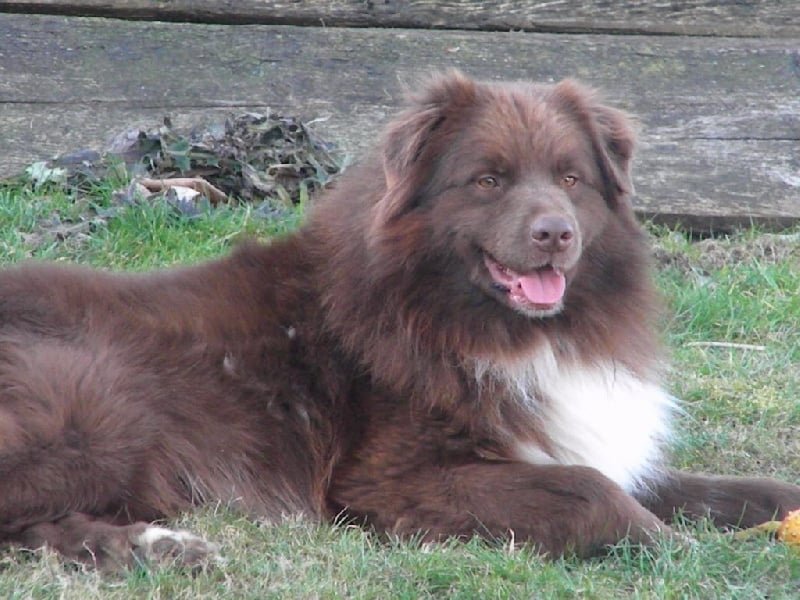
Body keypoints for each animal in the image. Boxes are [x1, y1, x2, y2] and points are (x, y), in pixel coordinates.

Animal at [1, 71, 798, 569]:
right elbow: (591, 492)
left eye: (571, 179)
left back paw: (158, 547)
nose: (556, 234)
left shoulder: (575, 436)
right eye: (489, 180)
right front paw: (681, 549)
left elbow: (723, 488)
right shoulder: (390, 481)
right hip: (104, 407)